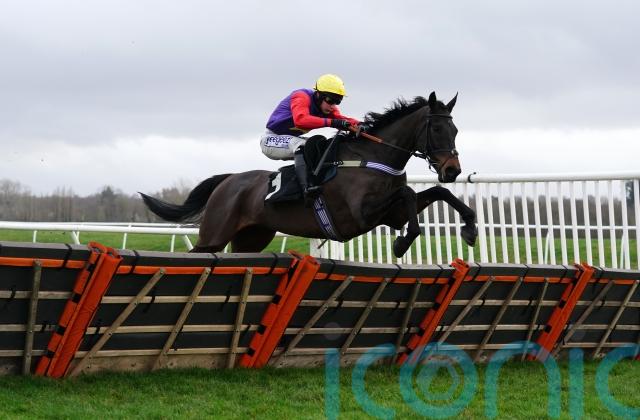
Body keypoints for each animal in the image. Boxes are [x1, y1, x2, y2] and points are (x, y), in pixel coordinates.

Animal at [140, 92, 477, 257]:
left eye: (455, 130)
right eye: (437, 128)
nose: (452, 169)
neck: (374, 155)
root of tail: (228, 180)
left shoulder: (390, 214)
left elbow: (437, 193)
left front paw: (470, 229)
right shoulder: (360, 215)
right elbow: (407, 193)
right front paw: (402, 243)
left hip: (252, 237)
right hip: (214, 233)